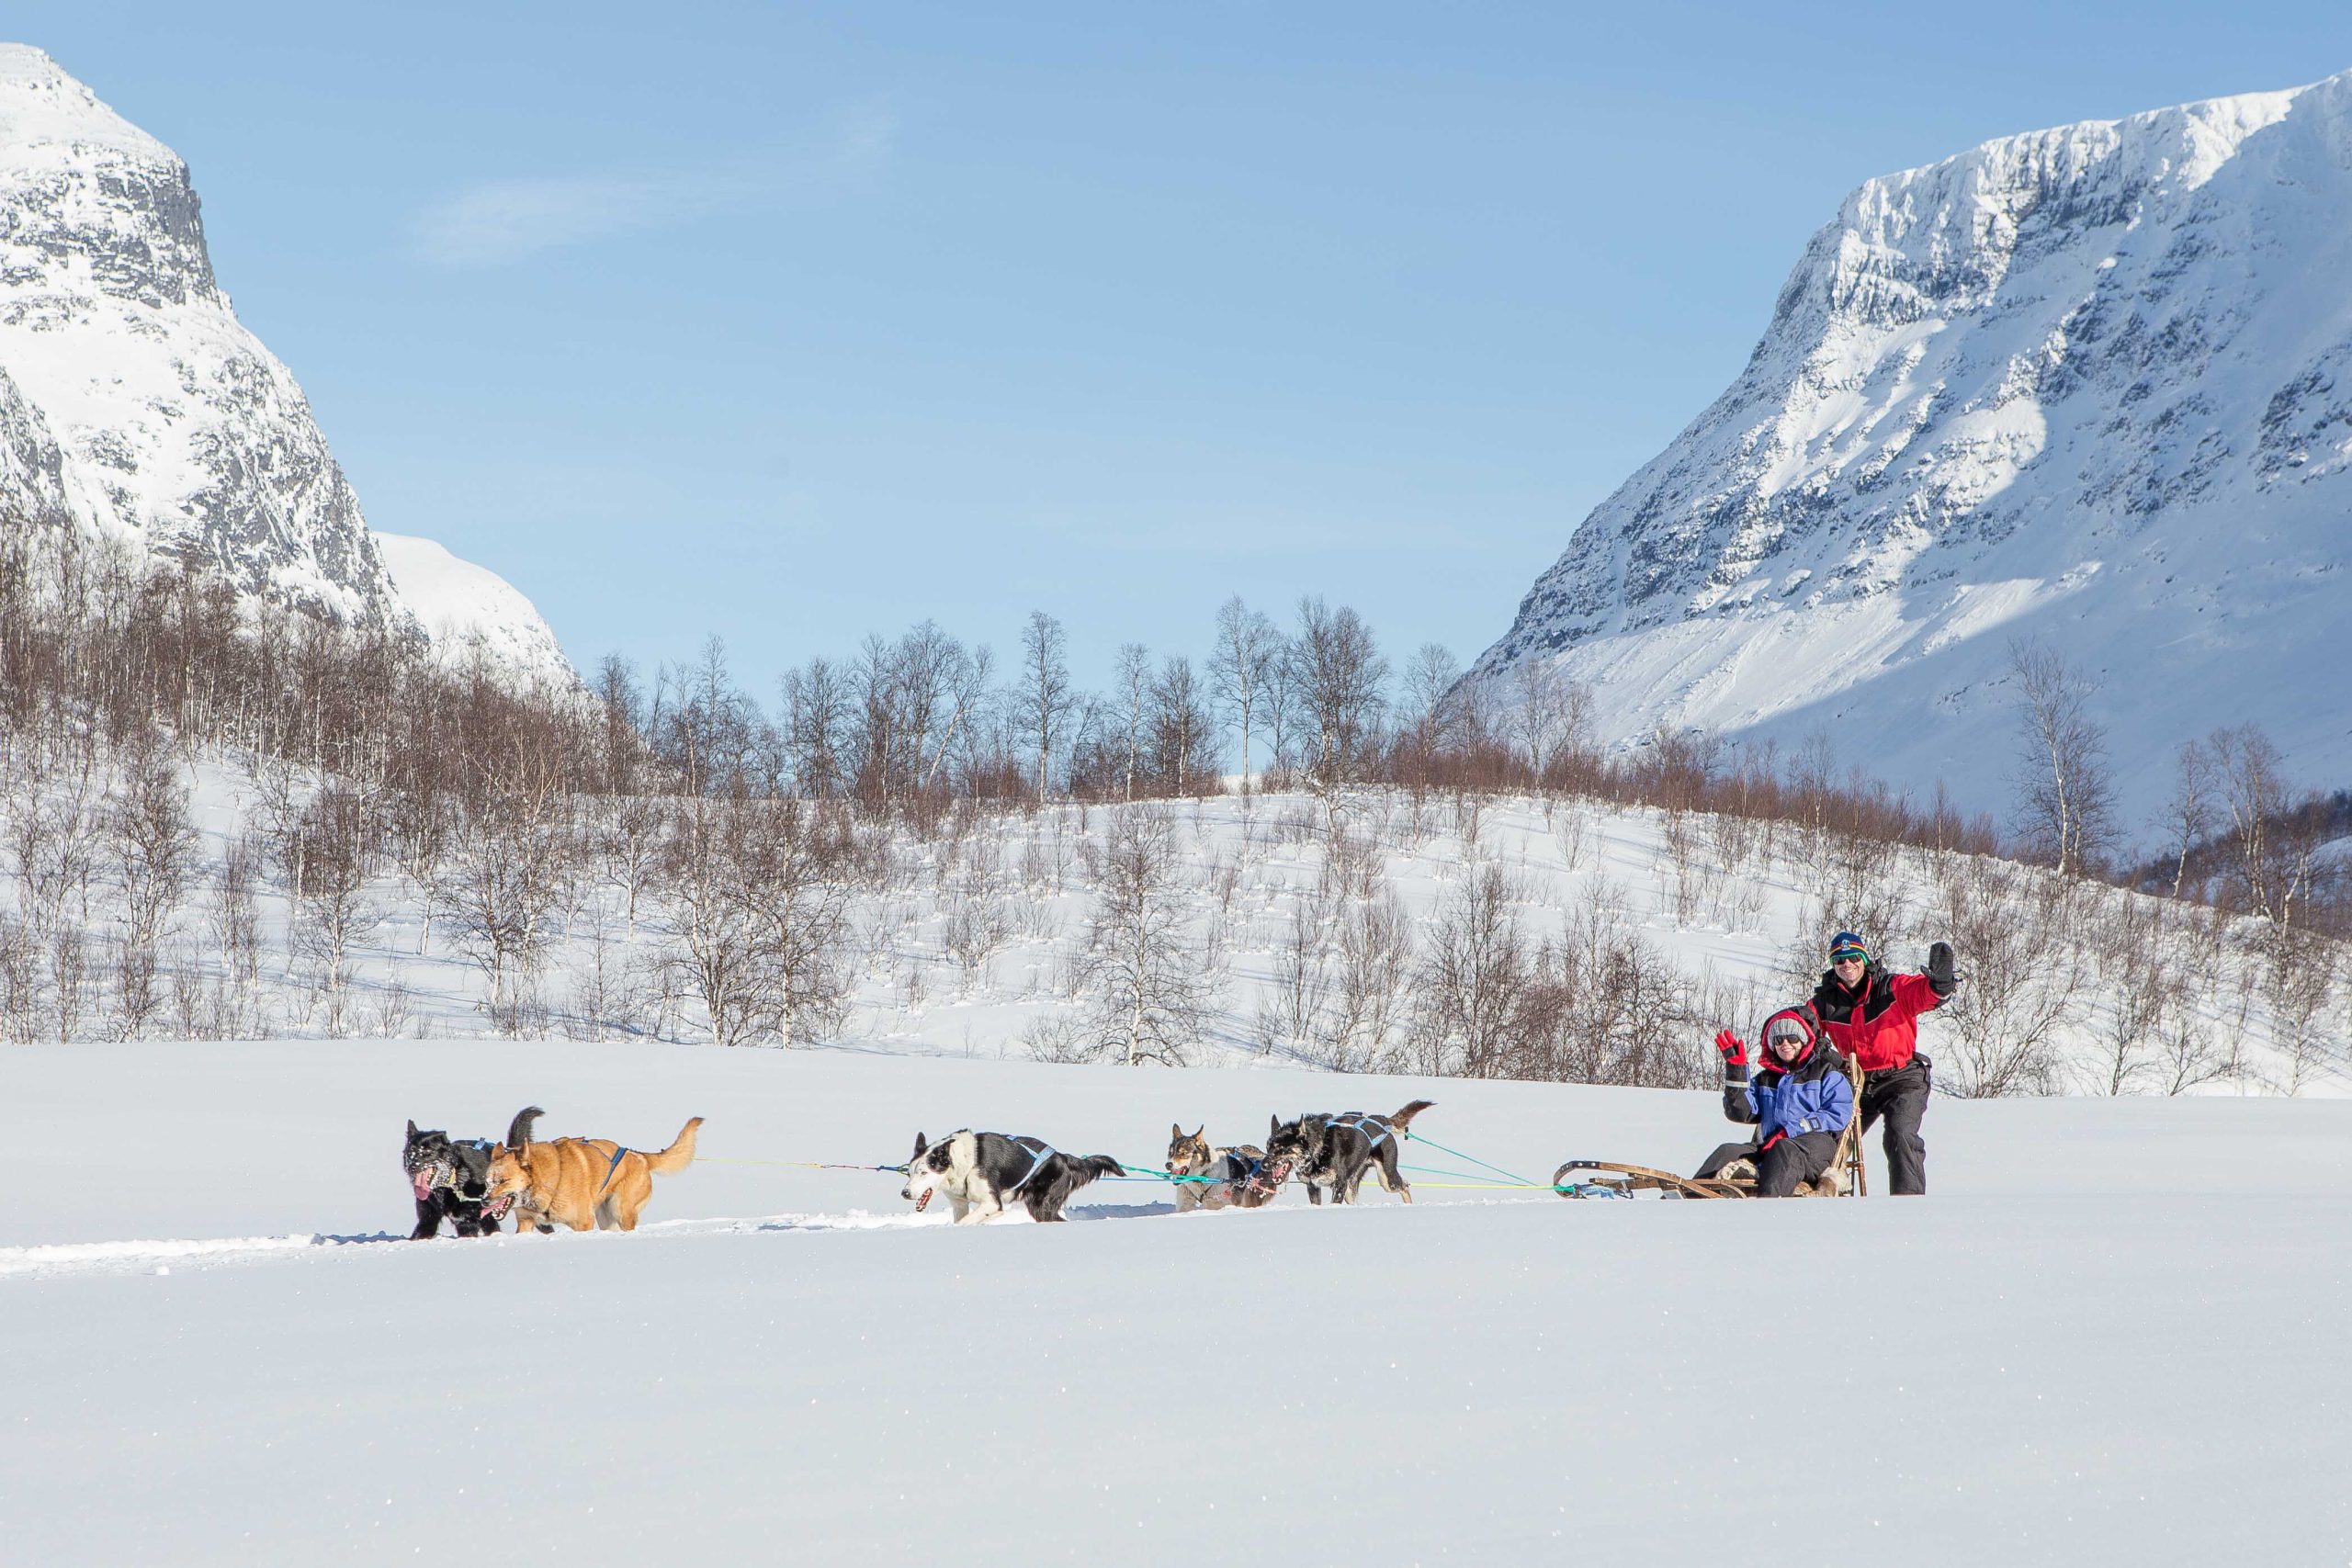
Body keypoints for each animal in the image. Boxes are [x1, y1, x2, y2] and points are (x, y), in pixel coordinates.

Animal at [477, 1109, 695, 1232]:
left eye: (503, 1181)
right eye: (487, 1182)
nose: (484, 1201)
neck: (549, 1180)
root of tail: (639, 1155)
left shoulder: (582, 1223)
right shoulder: (526, 1222)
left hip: (621, 1211)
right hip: (606, 1218)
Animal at [893, 1133, 1124, 1232]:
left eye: (923, 1172)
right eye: (909, 1173)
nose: (905, 1193)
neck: (964, 1162)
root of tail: (1062, 1157)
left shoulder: (991, 1202)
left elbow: (965, 1221)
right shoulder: (960, 1204)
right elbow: (964, 1218)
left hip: (1042, 1205)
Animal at [1250, 1100, 1430, 1213]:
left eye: (1281, 1149)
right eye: (1268, 1148)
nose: (1263, 1165)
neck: (1319, 1151)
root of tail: (1381, 1120)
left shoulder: (1339, 1185)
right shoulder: (1313, 1186)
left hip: (1387, 1179)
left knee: (1404, 1186)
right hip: (1352, 1187)